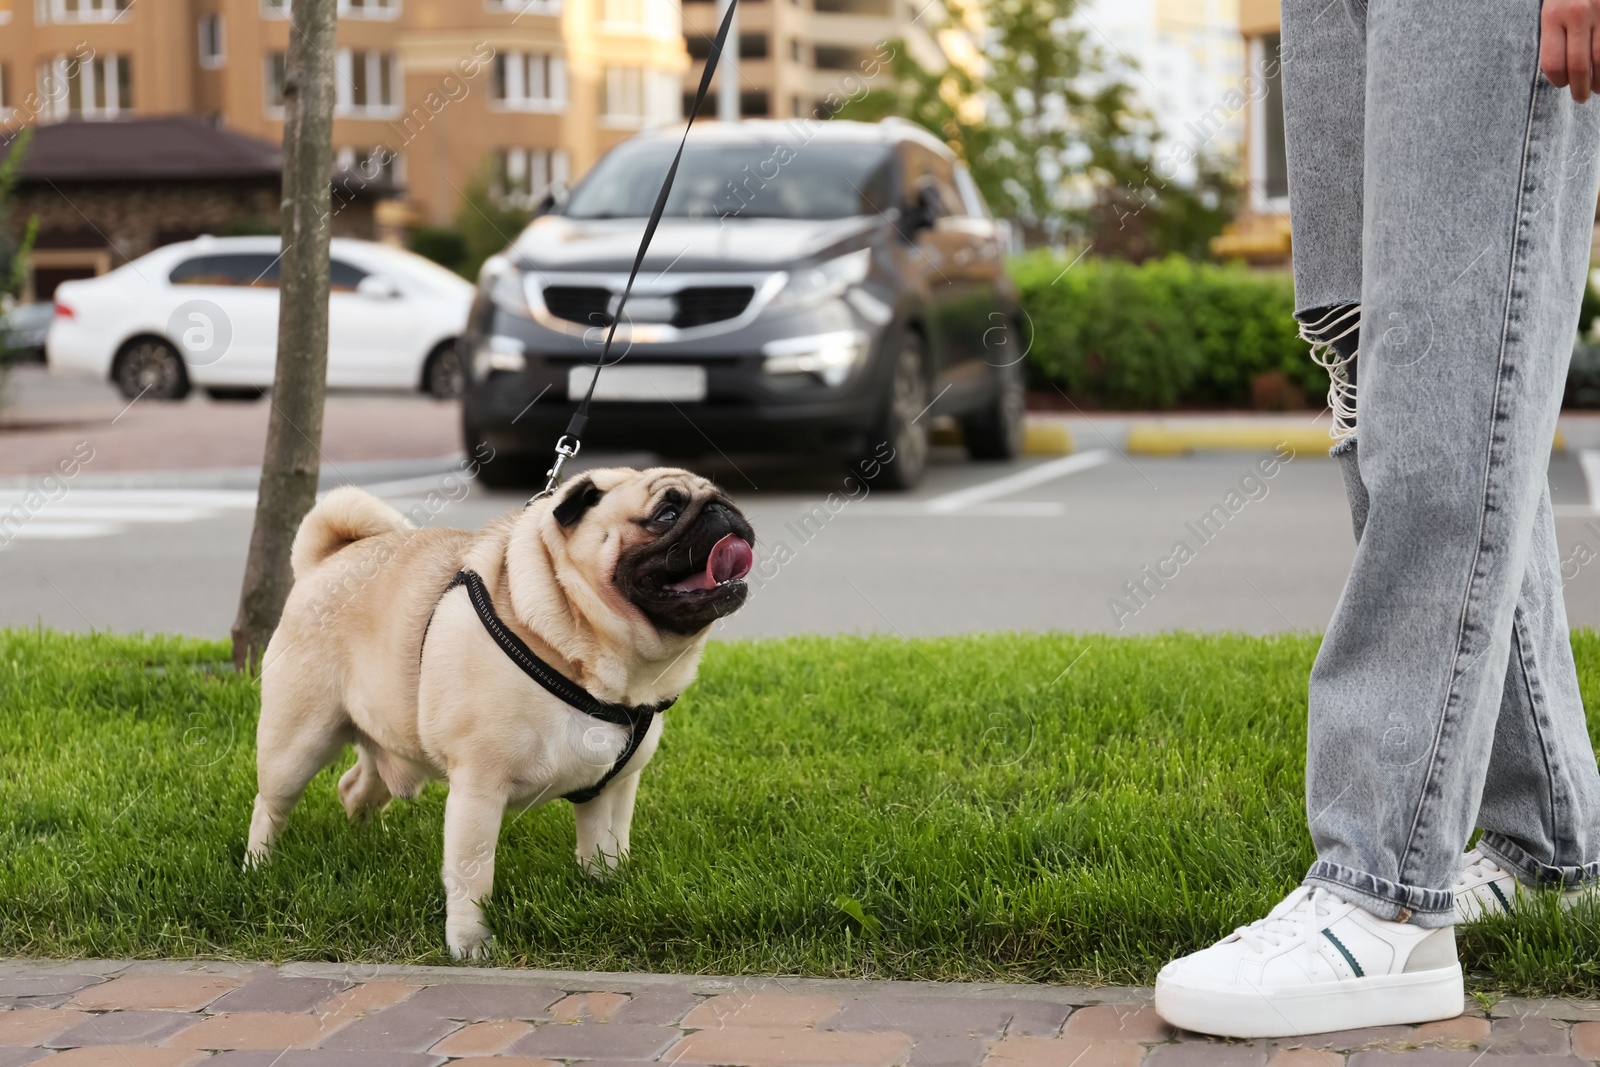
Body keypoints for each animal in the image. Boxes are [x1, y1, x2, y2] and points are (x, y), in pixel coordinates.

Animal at [244, 467, 755, 959]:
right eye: (666, 514)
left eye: (724, 497)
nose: (723, 511)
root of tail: (323, 562)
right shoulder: (479, 789)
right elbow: (472, 876)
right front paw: (470, 944)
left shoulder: (615, 787)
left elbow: (605, 848)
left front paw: (608, 891)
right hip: (298, 743)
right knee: (270, 806)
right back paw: (259, 868)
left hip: (385, 738)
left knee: (354, 788)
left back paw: (365, 842)